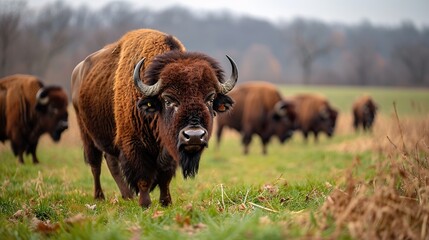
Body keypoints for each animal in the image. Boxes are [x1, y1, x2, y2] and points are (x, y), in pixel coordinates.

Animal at [71, 28, 237, 208]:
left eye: (210, 98)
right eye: (168, 99)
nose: (194, 136)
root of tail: (78, 72)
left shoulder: (169, 150)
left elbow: (165, 175)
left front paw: (166, 202)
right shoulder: (134, 144)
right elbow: (143, 176)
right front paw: (145, 203)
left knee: (111, 162)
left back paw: (127, 196)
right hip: (86, 134)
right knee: (96, 165)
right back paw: (99, 197)